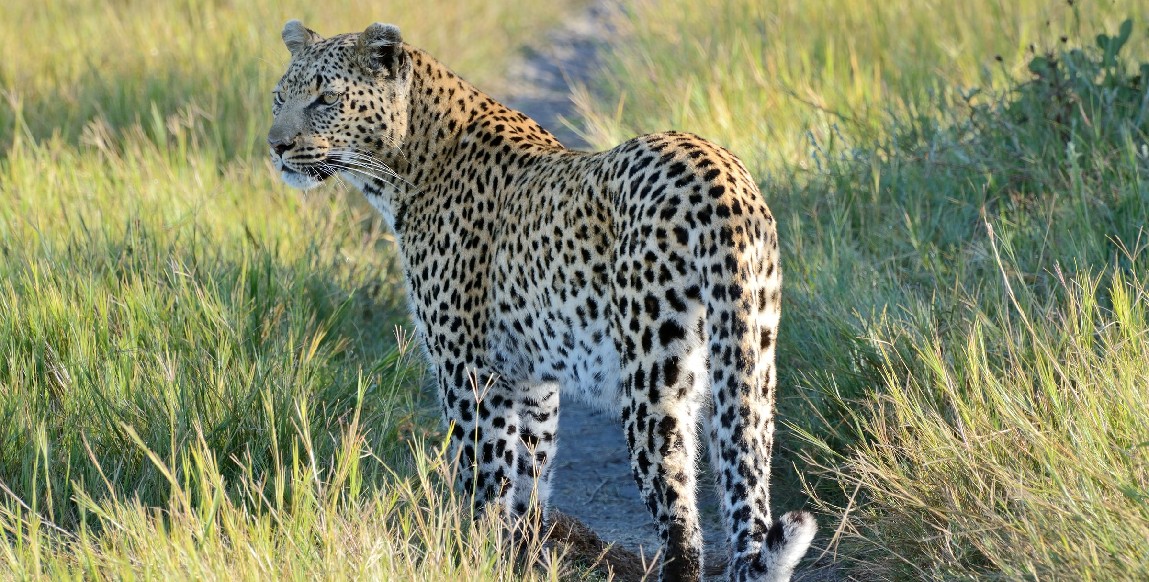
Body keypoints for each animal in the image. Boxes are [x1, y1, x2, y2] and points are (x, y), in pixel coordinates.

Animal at [268, 19, 818, 582]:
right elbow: (529, 479)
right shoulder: (533, 383)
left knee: (682, 528)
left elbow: (482, 477)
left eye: (326, 98)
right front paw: (520, 556)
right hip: (752, 365)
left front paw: (476, 556)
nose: (278, 146)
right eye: (279, 98)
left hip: (654, 385)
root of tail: (720, 178)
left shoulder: (469, 372)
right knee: (747, 485)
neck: (405, 165)